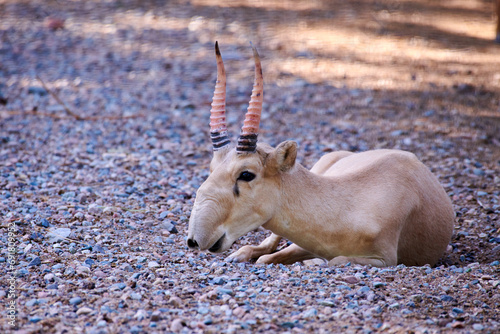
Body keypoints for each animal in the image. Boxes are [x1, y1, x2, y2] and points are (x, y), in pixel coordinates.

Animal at [187, 42, 454, 266]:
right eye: (212, 168)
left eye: (246, 174)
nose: (195, 239)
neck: (346, 204)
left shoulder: (385, 259)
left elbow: (335, 260)